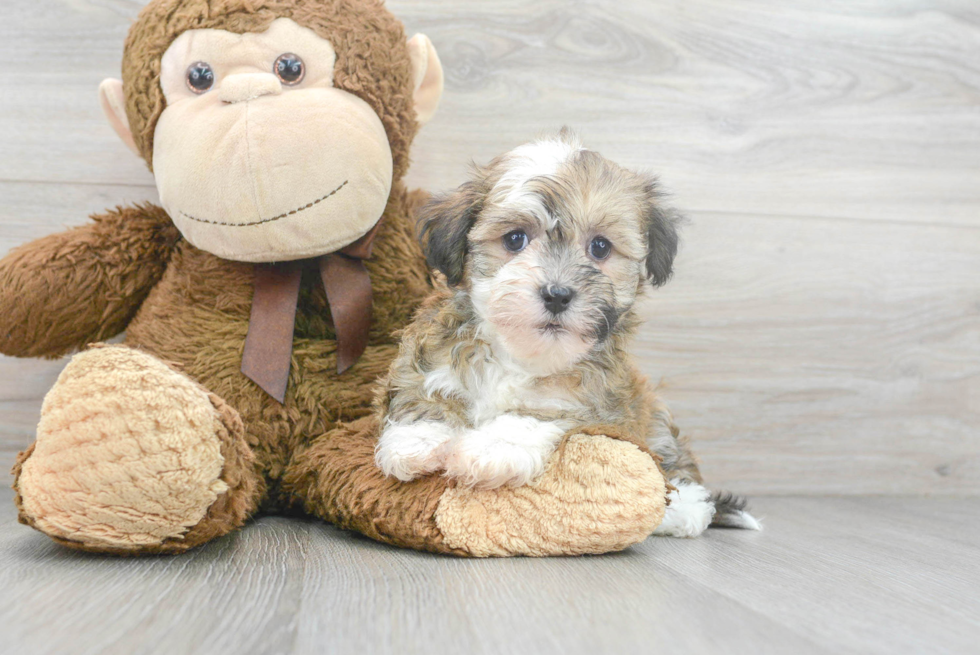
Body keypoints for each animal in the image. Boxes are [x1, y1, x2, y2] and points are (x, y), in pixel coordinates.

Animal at [376, 132, 756, 540]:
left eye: (600, 246)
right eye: (515, 239)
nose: (557, 294)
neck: (519, 354)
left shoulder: (590, 403)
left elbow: (536, 414)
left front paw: (494, 448)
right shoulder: (429, 356)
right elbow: (426, 392)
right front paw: (418, 439)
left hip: (654, 420)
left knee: (676, 471)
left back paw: (682, 509)